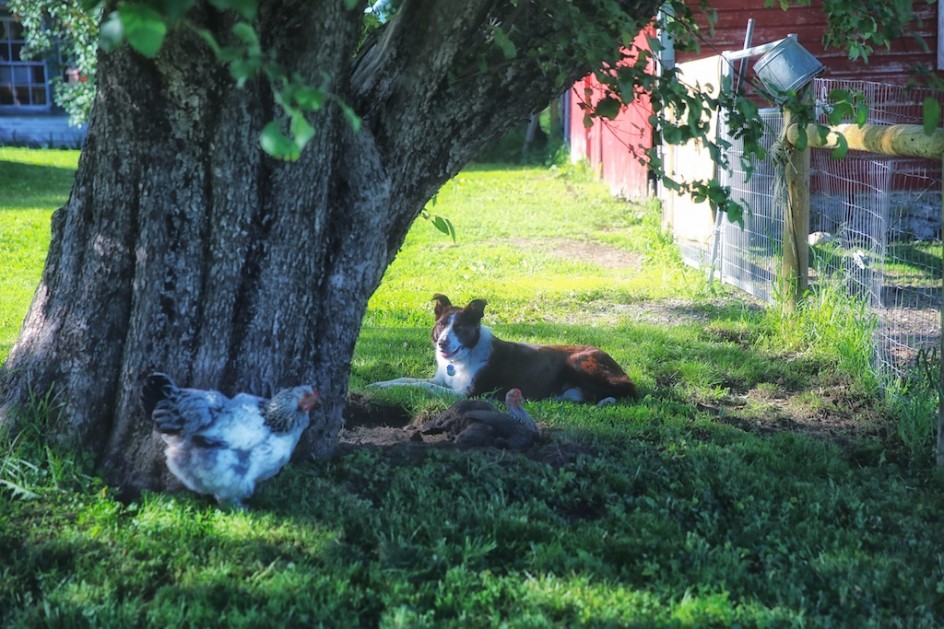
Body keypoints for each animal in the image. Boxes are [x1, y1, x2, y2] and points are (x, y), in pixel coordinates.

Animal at [366, 294, 636, 404]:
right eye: (441, 325)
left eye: (460, 327)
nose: (442, 342)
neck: (465, 356)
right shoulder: (443, 380)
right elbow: (406, 379)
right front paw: (379, 385)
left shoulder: (466, 393)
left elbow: (422, 387)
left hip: (579, 361)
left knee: (625, 389)